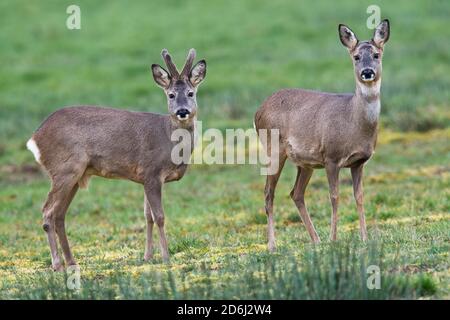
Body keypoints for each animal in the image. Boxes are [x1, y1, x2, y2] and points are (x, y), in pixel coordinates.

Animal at [29, 48, 208, 270]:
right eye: (171, 94)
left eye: (191, 93)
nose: (182, 111)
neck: (169, 140)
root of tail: (35, 138)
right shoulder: (152, 172)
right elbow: (159, 217)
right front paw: (166, 258)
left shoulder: (145, 178)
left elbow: (147, 216)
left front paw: (147, 256)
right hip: (64, 169)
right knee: (48, 212)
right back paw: (57, 264)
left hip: (74, 176)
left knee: (59, 214)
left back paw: (71, 262)